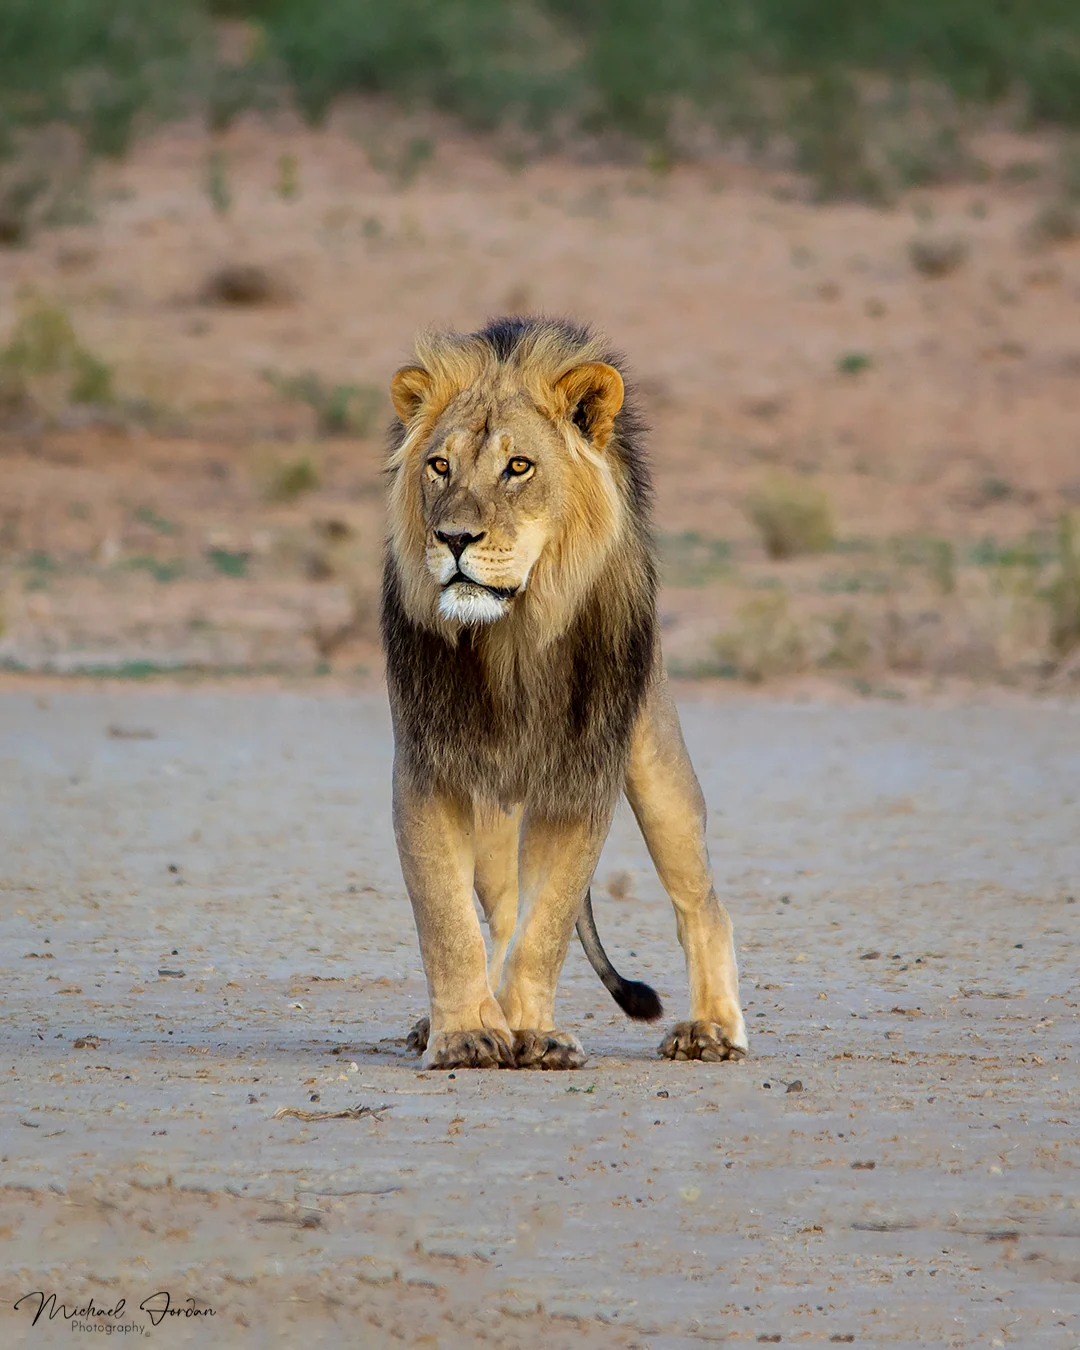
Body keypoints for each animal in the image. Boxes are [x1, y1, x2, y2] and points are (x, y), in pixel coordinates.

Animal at [382, 315, 747, 1070]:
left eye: (518, 468)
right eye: (439, 467)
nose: (452, 538)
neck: (514, 640)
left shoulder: (581, 777)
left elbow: (546, 924)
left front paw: (534, 1035)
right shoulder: (431, 768)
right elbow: (447, 921)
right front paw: (465, 1035)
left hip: (655, 759)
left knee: (703, 904)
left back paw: (711, 1030)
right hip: (493, 804)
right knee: (495, 912)